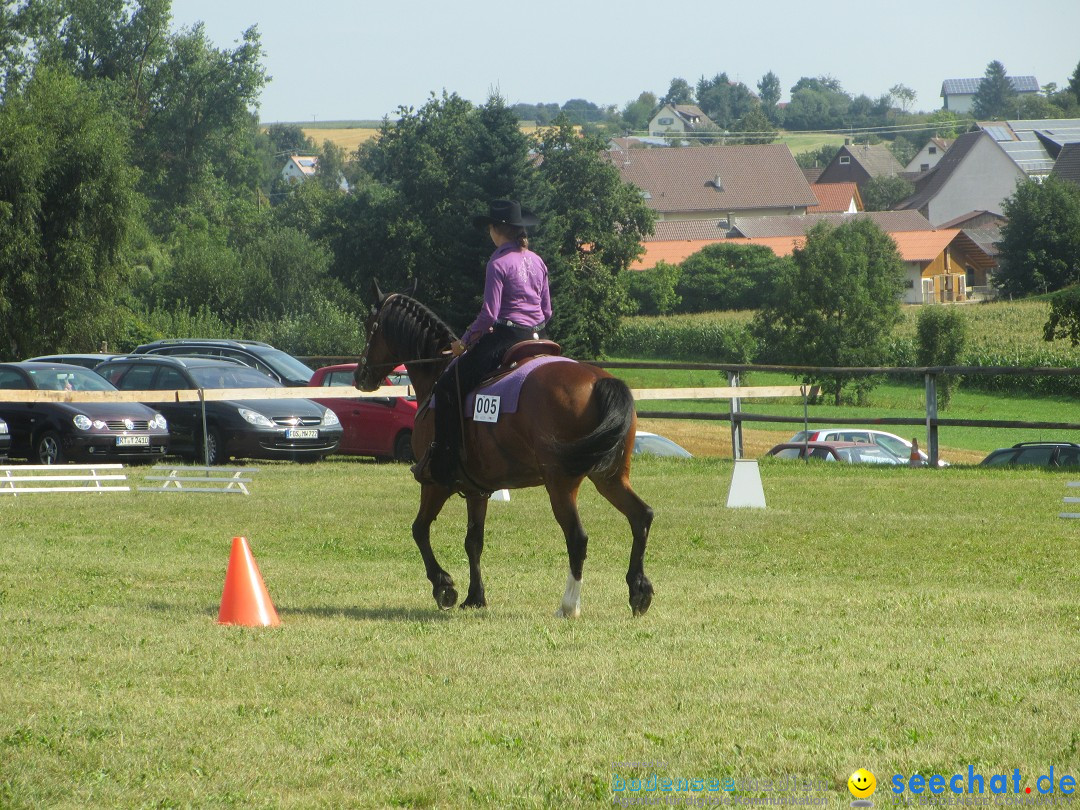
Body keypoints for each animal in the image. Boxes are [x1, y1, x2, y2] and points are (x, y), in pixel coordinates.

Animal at [358, 289, 652, 617]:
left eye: (370, 326)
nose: (360, 375)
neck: (435, 375)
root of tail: (598, 380)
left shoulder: (435, 483)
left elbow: (419, 529)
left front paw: (444, 586)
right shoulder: (476, 490)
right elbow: (473, 541)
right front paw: (475, 596)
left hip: (561, 484)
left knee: (578, 537)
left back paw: (568, 605)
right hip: (610, 477)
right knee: (641, 516)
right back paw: (639, 591)